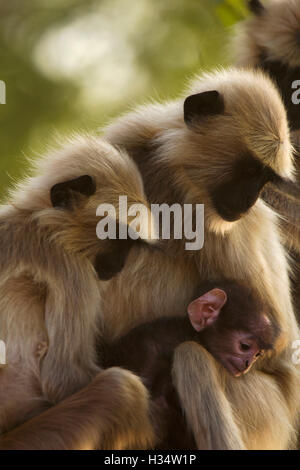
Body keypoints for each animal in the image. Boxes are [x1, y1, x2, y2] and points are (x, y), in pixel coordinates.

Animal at [0, 137, 157, 448]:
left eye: (131, 244)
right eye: (116, 238)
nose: (119, 264)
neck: (39, 221)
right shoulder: (68, 265)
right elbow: (62, 377)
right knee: (120, 387)